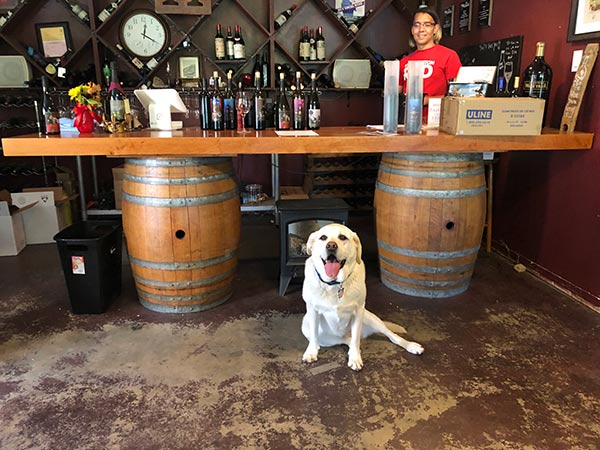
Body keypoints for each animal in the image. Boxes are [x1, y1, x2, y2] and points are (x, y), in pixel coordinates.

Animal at [300, 223, 422, 370]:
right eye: (323, 237)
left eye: (342, 237)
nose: (331, 246)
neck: (335, 284)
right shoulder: (312, 311)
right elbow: (314, 335)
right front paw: (311, 352)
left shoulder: (358, 312)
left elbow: (356, 338)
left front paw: (355, 358)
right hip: (311, 329)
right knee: (345, 340)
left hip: (370, 318)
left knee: (390, 336)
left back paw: (411, 345)